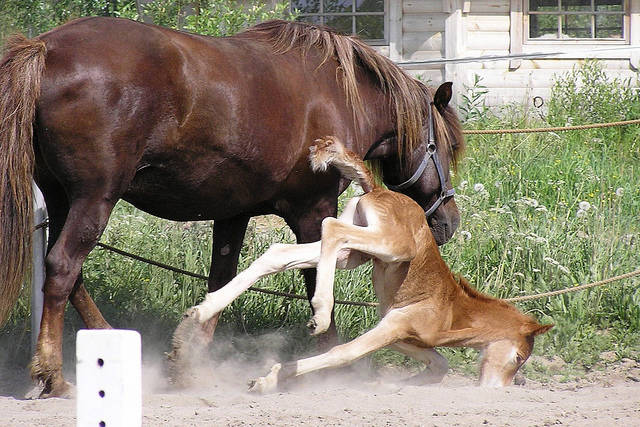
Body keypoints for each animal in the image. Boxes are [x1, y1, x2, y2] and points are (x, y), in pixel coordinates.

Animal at [0, 16, 462, 398]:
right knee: (63, 268)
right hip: (94, 198)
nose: (448, 221)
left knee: (69, 275)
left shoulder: (232, 213)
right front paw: (332, 369)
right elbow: (317, 280)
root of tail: (46, 48)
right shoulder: (313, 211)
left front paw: (190, 360)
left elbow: (220, 281)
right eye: (446, 147)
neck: (337, 93)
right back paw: (52, 374)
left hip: (63, 197)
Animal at [178, 137, 552, 392]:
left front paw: (404, 383)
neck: (454, 313)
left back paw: (200, 312)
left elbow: (440, 364)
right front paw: (269, 379)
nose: (498, 388)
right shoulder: (393, 326)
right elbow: (345, 352)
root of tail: (378, 188)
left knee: (282, 252)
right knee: (332, 229)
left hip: (359, 251)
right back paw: (320, 313)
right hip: (390, 245)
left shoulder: (401, 335)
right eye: (519, 358)